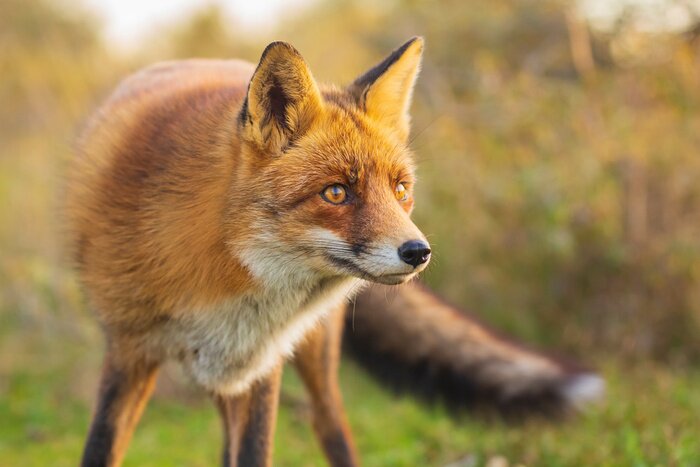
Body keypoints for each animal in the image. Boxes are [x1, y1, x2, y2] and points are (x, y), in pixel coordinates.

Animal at [67, 37, 432, 466]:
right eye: (336, 193)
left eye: (400, 190)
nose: (418, 251)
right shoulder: (127, 351)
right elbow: (100, 446)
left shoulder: (262, 365)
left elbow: (256, 450)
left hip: (309, 359)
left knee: (330, 425)